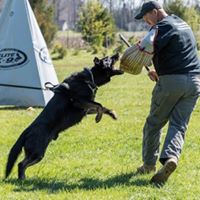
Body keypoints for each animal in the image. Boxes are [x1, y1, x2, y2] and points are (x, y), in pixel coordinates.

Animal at [5, 52, 123, 180]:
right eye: (108, 58)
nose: (117, 53)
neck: (90, 78)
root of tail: (26, 132)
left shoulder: (85, 108)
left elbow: (102, 107)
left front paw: (112, 114)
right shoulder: (80, 102)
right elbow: (99, 105)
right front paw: (98, 118)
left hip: (37, 153)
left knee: (22, 164)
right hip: (37, 152)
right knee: (21, 164)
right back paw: (22, 178)